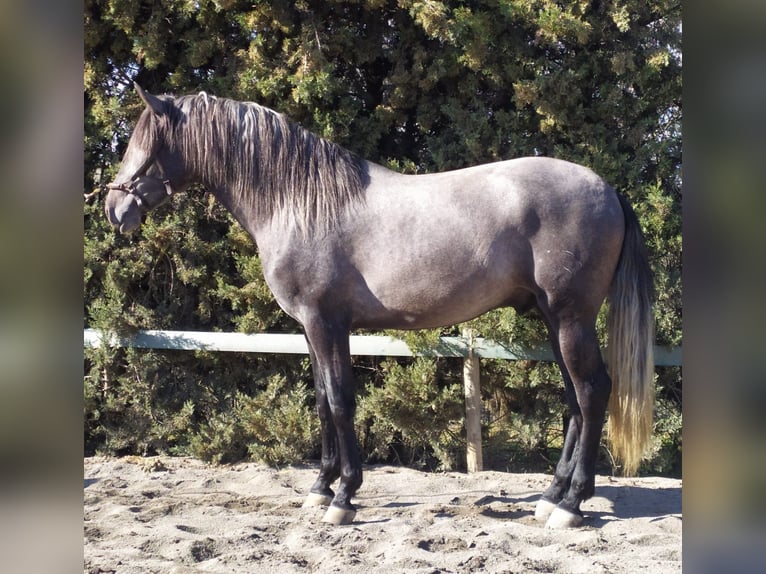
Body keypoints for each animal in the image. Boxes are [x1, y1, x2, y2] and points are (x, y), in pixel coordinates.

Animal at [103, 84, 656, 532]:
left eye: (145, 144)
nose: (114, 209)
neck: (299, 202)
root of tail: (607, 188)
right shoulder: (311, 328)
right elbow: (322, 400)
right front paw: (319, 488)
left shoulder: (326, 323)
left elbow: (341, 399)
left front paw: (344, 496)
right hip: (553, 319)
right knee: (574, 401)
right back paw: (550, 496)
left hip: (570, 319)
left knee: (592, 392)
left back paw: (572, 506)